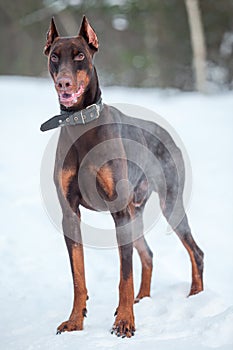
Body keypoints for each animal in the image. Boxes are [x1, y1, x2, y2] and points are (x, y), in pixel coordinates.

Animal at [40, 16, 204, 340]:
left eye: (80, 55)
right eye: (54, 56)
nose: (64, 82)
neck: (81, 122)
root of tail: (166, 133)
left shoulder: (118, 211)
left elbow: (124, 274)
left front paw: (125, 322)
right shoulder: (70, 213)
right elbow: (78, 276)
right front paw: (75, 321)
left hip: (168, 204)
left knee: (196, 251)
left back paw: (195, 295)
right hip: (134, 212)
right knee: (148, 253)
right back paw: (144, 298)